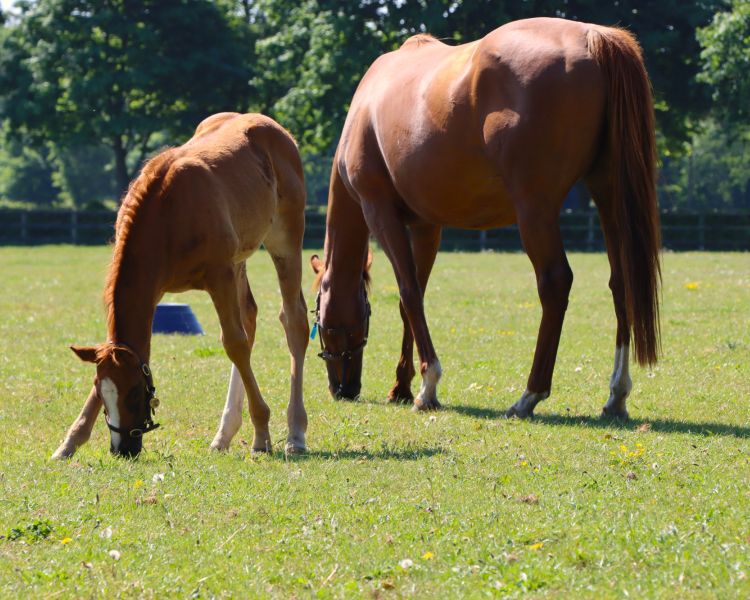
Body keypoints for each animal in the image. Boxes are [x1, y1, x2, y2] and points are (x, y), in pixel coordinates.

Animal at [52, 112, 310, 458]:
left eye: (135, 393)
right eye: (100, 393)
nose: (123, 449)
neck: (168, 214)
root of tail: (276, 129)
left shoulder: (219, 275)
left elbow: (235, 344)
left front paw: (262, 433)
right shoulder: (158, 287)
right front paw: (70, 442)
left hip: (284, 238)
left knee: (293, 320)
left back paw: (295, 432)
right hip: (240, 261)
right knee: (250, 316)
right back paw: (224, 434)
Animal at [310, 17, 661, 419]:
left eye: (320, 321)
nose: (343, 389)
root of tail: (592, 36)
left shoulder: (380, 212)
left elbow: (409, 293)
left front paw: (427, 386)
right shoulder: (427, 226)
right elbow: (411, 300)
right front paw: (402, 386)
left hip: (535, 210)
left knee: (555, 282)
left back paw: (529, 395)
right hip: (609, 196)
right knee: (621, 283)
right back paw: (616, 394)